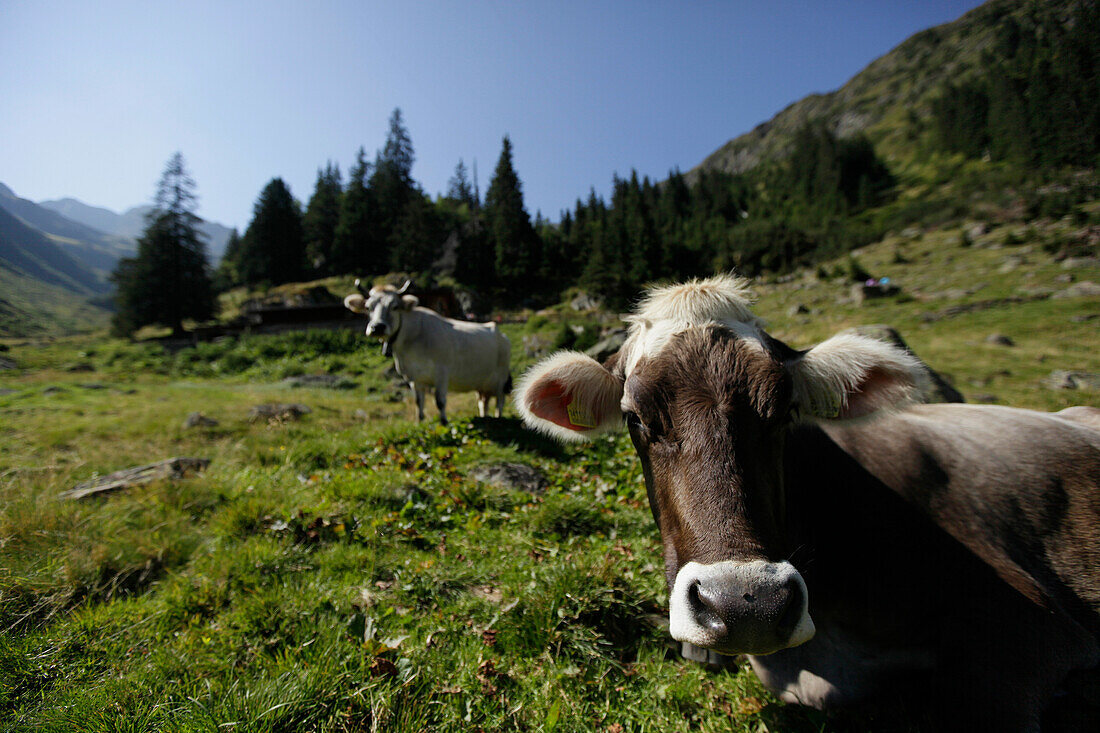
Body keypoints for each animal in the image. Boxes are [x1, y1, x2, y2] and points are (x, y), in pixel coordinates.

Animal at [345, 279, 512, 422]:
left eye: (395, 306)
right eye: (368, 307)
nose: (377, 327)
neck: (410, 344)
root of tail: (501, 334)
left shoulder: (442, 373)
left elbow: (440, 401)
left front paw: (444, 422)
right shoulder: (413, 378)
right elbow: (419, 402)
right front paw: (419, 422)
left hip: (501, 378)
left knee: (500, 402)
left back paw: (498, 418)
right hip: (483, 384)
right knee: (483, 402)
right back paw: (485, 417)